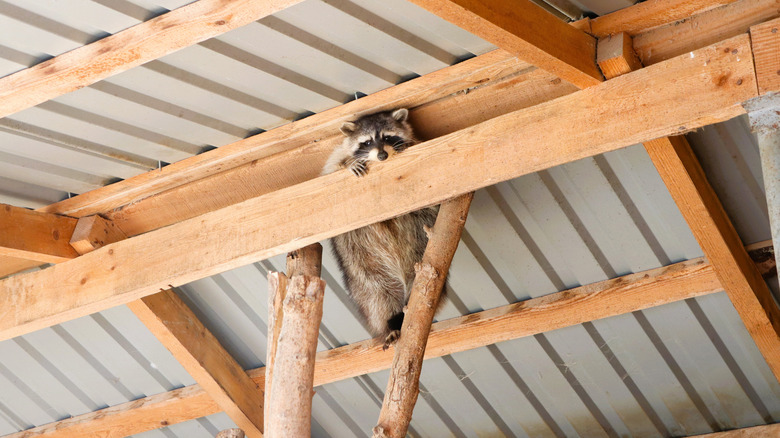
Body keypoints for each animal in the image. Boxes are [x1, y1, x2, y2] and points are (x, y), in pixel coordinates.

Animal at [323, 109, 442, 348]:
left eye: (387, 137)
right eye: (367, 142)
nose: (382, 156)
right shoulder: (335, 157)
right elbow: (331, 169)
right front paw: (348, 163)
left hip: (418, 255)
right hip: (361, 272)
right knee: (377, 298)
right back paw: (388, 325)